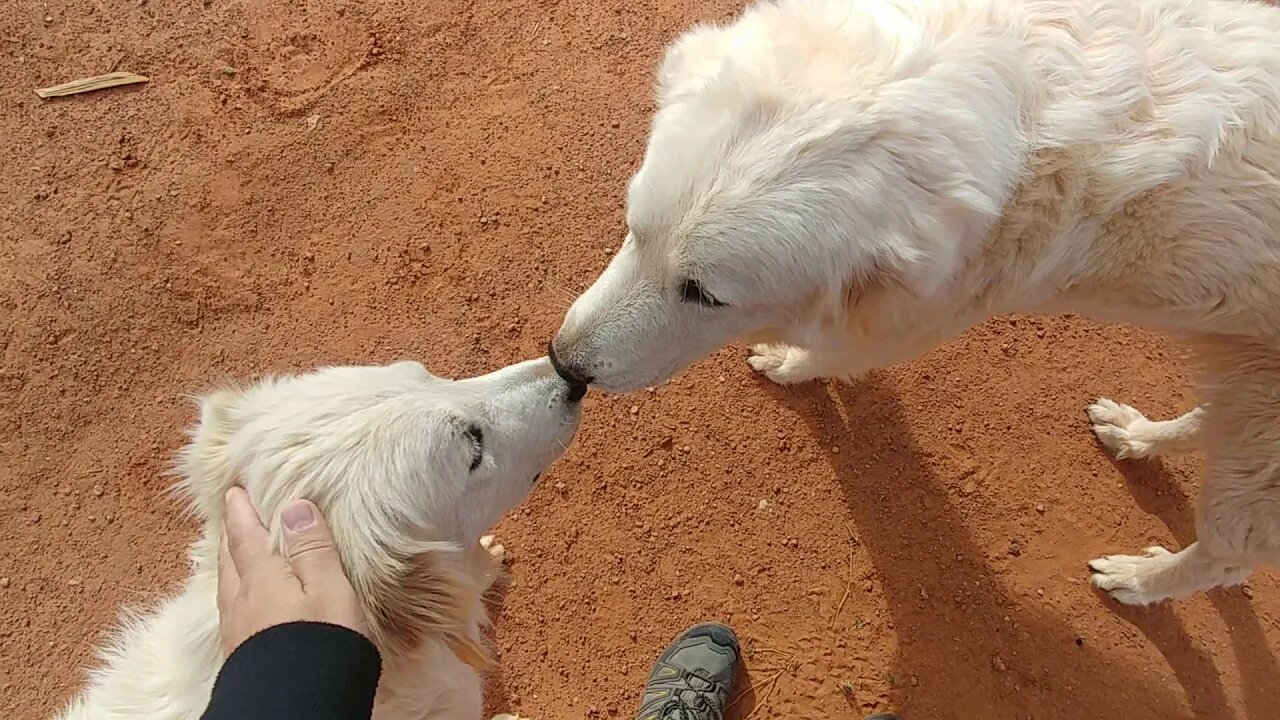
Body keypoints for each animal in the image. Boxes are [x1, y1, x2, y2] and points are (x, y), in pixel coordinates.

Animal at [550, 0, 1280, 604]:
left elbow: (831, 350)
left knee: (1227, 559)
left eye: (704, 293)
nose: (562, 363)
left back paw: (1141, 579)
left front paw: (788, 362)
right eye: (633, 227)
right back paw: (1138, 435)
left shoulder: (923, 312)